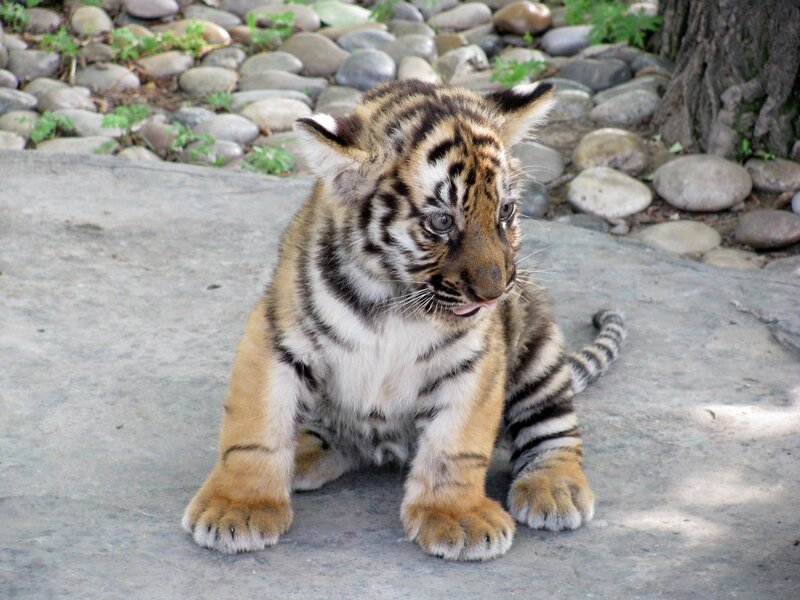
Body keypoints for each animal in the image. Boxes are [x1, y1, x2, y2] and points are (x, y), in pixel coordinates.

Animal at [181, 79, 626, 561]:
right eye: (441, 221)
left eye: (505, 211)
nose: (496, 292)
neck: (396, 300)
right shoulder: (277, 336)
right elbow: (255, 430)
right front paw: (238, 507)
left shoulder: (475, 359)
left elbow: (456, 444)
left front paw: (458, 517)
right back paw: (301, 452)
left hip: (539, 349)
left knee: (555, 430)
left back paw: (554, 489)